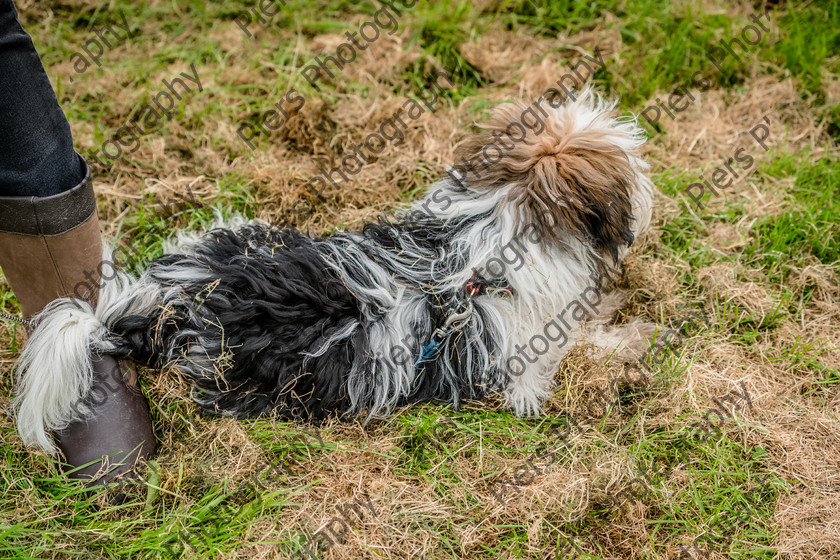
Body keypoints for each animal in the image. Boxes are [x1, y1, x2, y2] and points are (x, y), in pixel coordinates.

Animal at [14, 88, 656, 456]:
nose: (653, 188)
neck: (484, 242)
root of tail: (173, 300)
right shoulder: (520, 363)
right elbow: (577, 348)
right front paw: (635, 339)